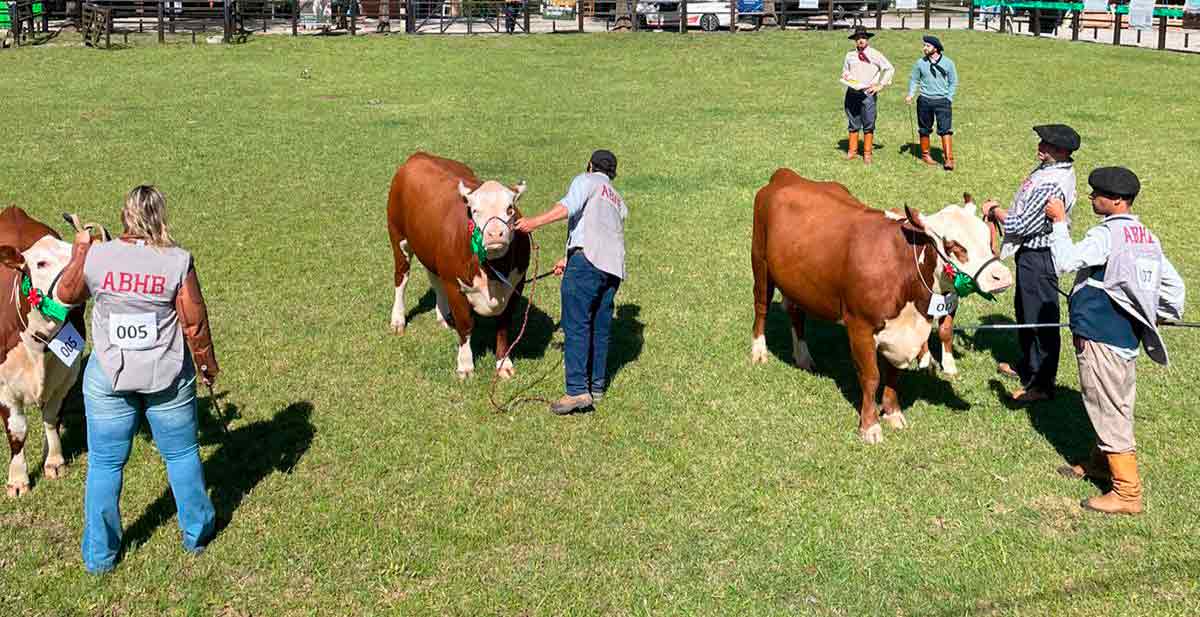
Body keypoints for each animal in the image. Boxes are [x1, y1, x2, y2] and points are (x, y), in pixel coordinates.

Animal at [0, 206, 87, 494]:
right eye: (40, 264)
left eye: (74, 253)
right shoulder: (3, 386)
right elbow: (17, 430)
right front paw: (17, 479)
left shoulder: (67, 375)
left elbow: (51, 417)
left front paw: (54, 461)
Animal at [388, 151, 530, 376]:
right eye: (474, 210)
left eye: (510, 209)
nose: (494, 234)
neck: (492, 274)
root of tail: (419, 155)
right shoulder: (455, 286)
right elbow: (465, 325)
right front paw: (465, 365)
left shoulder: (517, 284)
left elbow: (503, 326)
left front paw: (503, 363)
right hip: (398, 237)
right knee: (401, 278)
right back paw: (398, 319)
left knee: (435, 280)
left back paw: (443, 316)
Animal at [748, 170, 1012, 444]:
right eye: (954, 246)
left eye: (988, 238)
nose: (1002, 276)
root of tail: (786, 176)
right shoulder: (860, 327)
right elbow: (871, 377)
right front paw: (870, 426)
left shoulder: (902, 334)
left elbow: (894, 376)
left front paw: (893, 413)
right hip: (761, 264)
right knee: (761, 307)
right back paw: (759, 351)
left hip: (797, 282)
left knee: (797, 314)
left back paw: (803, 357)